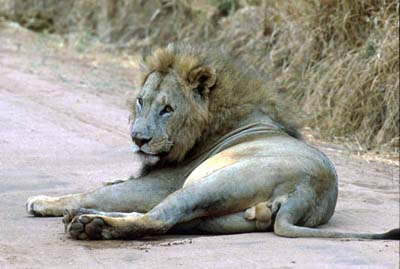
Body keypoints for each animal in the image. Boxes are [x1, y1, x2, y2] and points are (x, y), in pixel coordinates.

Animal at [26, 43, 398, 239]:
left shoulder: (158, 184)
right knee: (168, 221)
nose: (138, 139)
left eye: (167, 109)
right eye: (141, 102)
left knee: (159, 218)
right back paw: (88, 219)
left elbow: (95, 189)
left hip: (206, 185)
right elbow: (107, 184)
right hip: (216, 218)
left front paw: (42, 201)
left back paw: (90, 224)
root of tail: (306, 193)